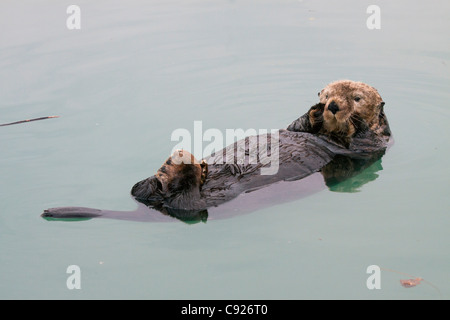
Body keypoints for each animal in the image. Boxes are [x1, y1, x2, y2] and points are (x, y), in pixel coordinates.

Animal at [43, 80, 394, 222]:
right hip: (153, 193)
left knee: (186, 205)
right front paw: (314, 112)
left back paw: (181, 169)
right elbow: (297, 126)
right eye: (327, 91)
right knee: (140, 189)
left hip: (201, 203)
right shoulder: (302, 128)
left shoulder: (369, 149)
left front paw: (352, 122)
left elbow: (361, 142)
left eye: (357, 98)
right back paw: (181, 167)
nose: (332, 103)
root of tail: (155, 206)